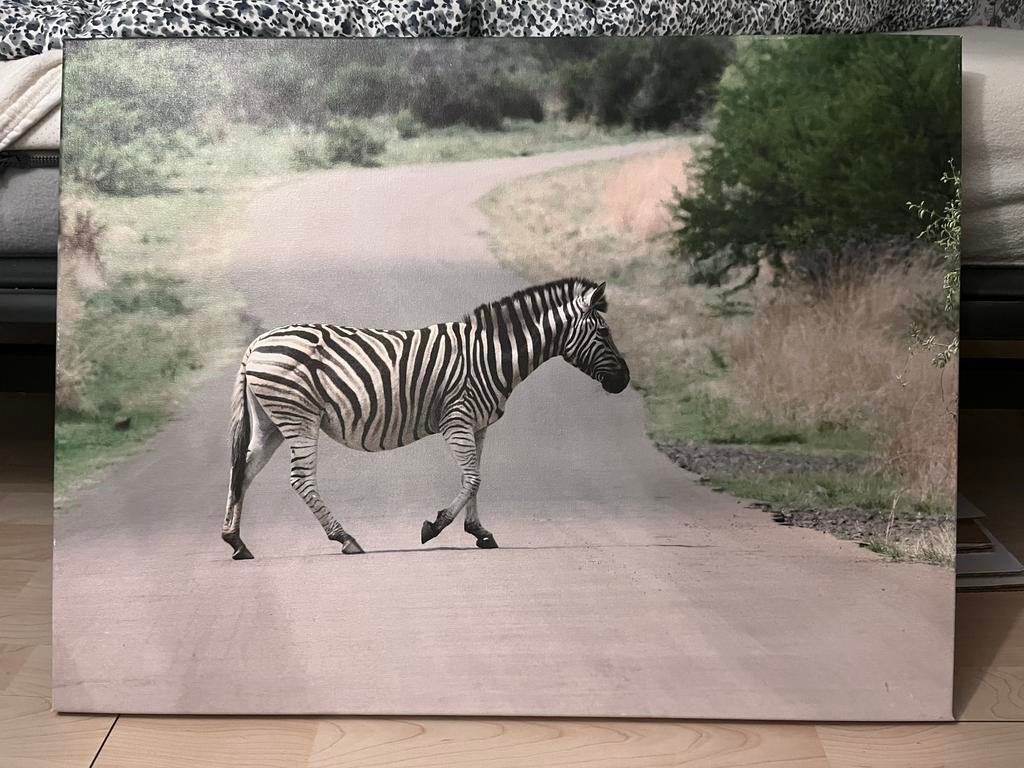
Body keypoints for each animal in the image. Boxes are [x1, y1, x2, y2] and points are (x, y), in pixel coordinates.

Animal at [221, 277, 630, 560]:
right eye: (604, 331)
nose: (625, 381)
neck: (490, 355)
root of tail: (256, 344)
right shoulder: (457, 420)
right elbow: (473, 478)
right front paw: (435, 526)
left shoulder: (478, 425)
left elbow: (475, 478)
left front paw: (480, 532)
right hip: (298, 416)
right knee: (299, 479)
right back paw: (346, 539)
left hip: (271, 422)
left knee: (243, 470)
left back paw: (236, 542)